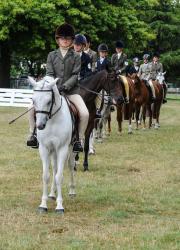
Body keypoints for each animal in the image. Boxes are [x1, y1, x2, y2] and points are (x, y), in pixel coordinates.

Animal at [28, 75, 76, 213]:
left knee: (71, 165)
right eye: (33, 100)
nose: (40, 125)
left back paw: (72, 191)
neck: (52, 120)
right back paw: (52, 194)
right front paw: (43, 204)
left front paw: (59, 206)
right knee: (54, 168)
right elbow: (46, 175)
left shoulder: (62, 148)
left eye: (49, 101)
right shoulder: (44, 148)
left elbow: (59, 176)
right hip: (53, 150)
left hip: (71, 148)